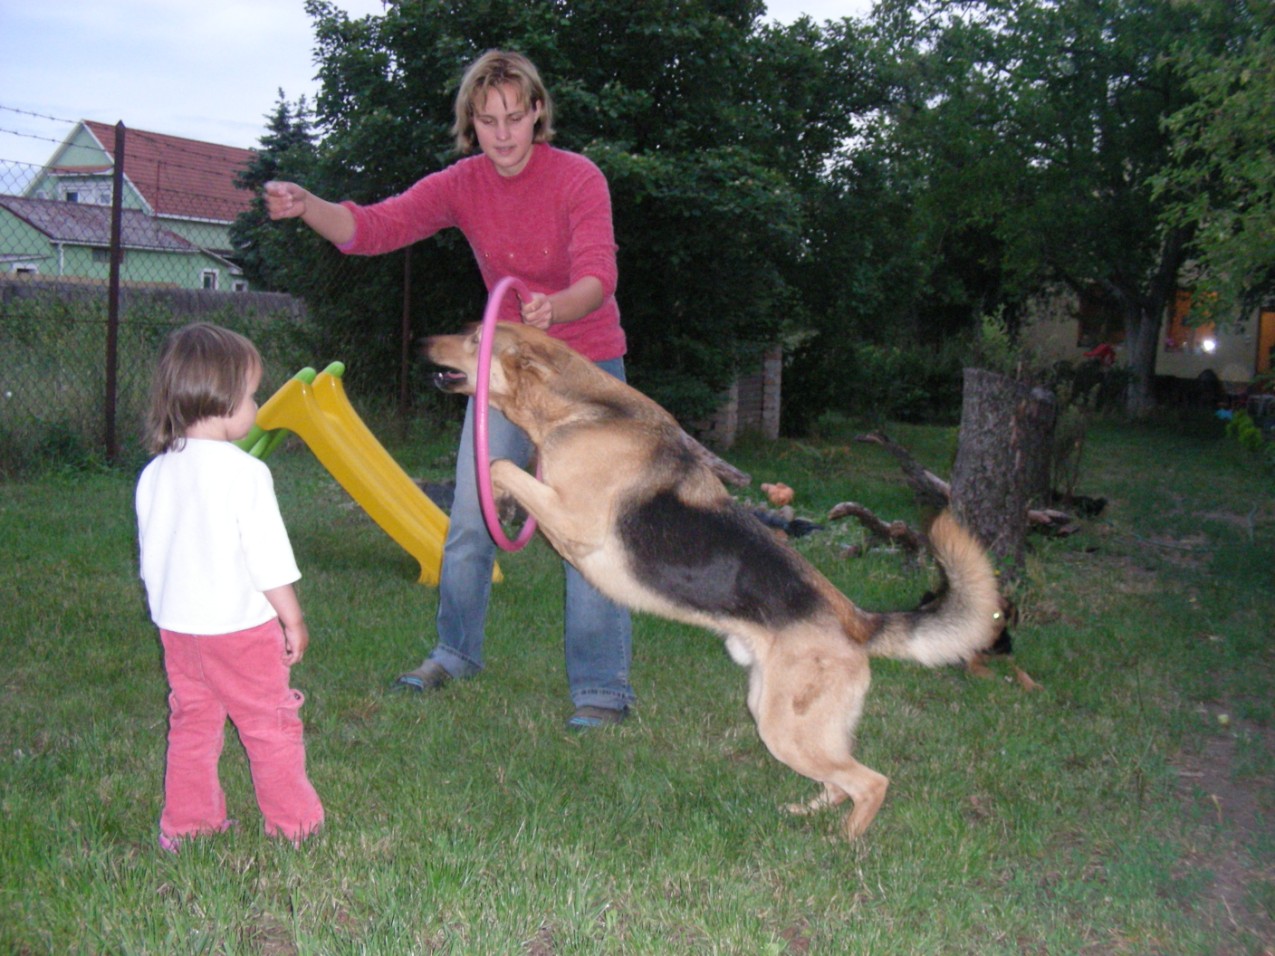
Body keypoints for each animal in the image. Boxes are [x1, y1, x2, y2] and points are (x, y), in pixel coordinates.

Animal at [423, 322, 999, 836]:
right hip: (776, 715)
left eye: (476, 337)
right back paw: (806, 816)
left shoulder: (576, 521)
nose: (423, 341)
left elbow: (498, 464)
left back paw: (845, 844)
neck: (576, 411)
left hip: (785, 728)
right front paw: (504, 507)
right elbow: (505, 471)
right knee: (840, 783)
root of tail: (858, 620)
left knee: (871, 782)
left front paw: (500, 496)